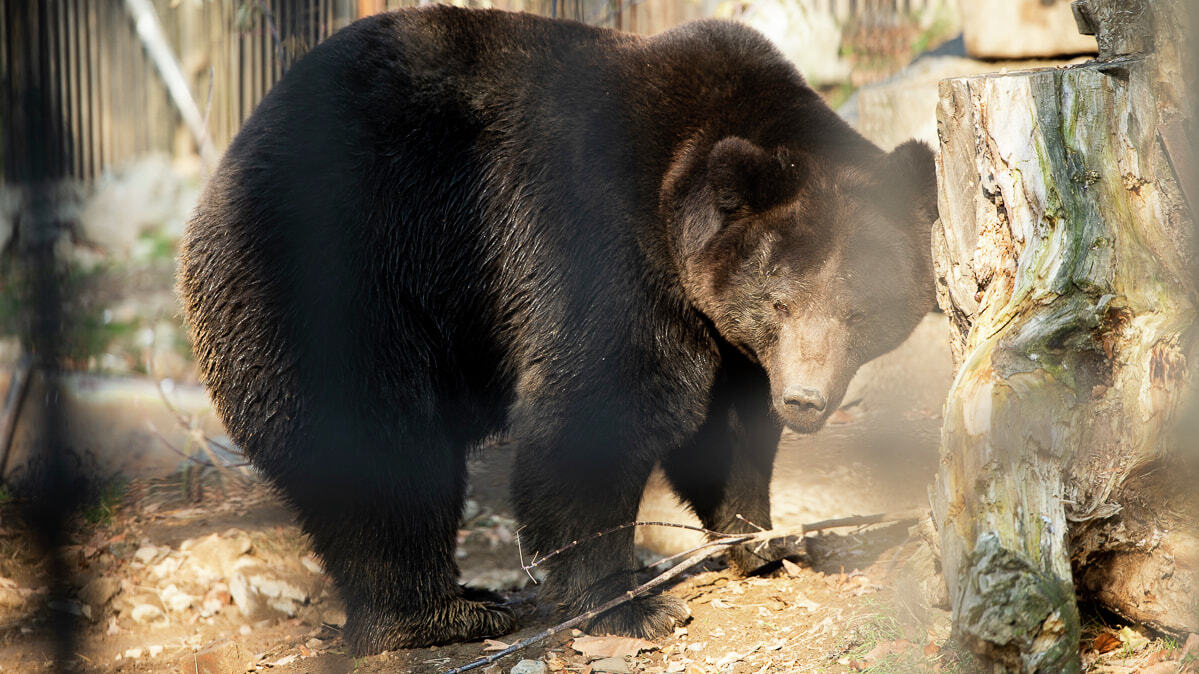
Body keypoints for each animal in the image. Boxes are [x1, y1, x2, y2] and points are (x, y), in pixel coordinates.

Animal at [179, 5, 935, 652]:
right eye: (779, 302)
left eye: (862, 310)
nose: (805, 399)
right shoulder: (596, 250)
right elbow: (599, 411)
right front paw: (631, 603)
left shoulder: (726, 340)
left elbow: (727, 428)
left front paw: (761, 540)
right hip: (341, 273)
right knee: (378, 441)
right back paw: (439, 614)